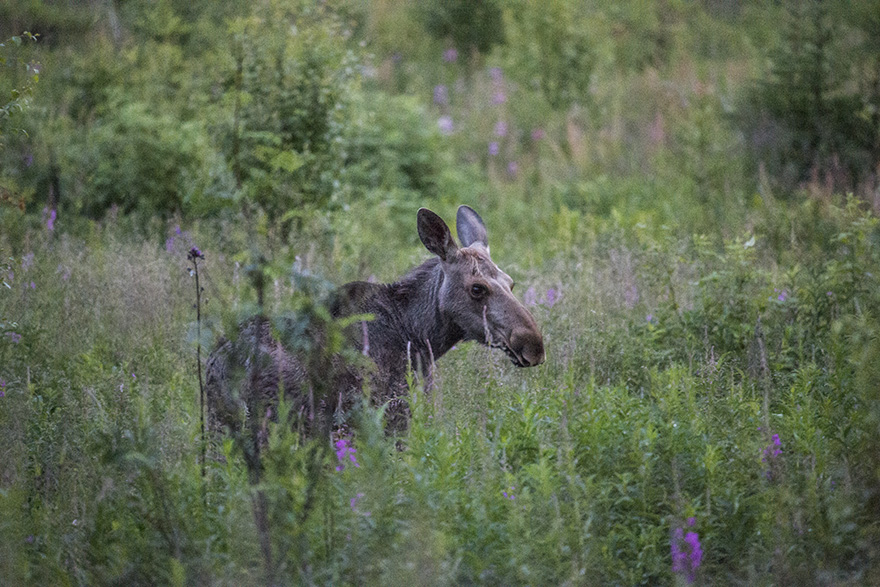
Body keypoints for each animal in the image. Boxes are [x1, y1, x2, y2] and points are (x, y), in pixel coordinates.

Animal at [207, 204, 548, 470]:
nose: (533, 344)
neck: (419, 335)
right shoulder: (394, 415)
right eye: (477, 288)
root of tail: (218, 366)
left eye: (511, 282)